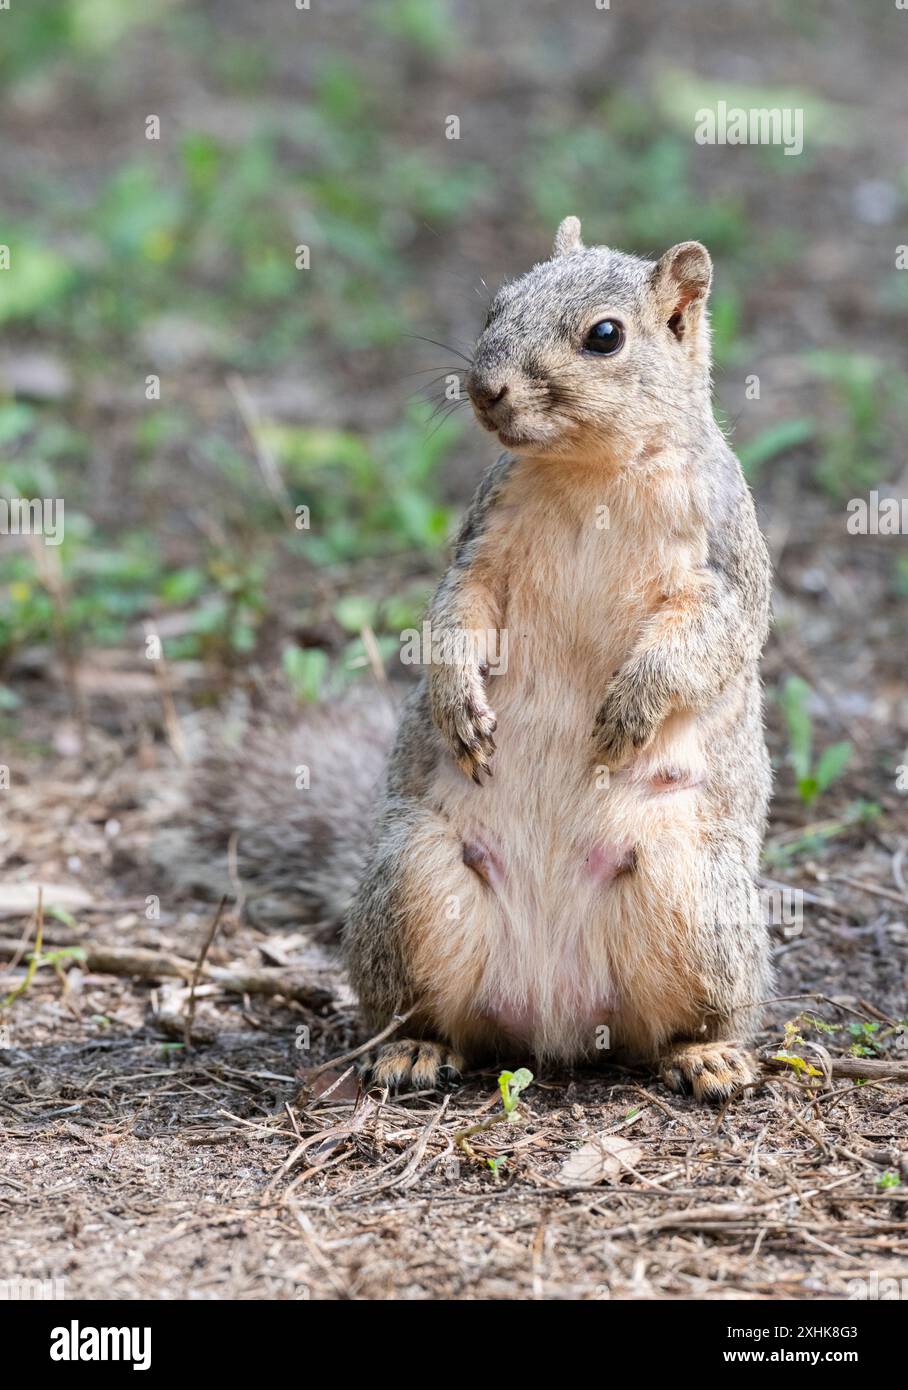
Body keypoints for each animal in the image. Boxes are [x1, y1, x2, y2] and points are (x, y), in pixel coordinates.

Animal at [175, 217, 772, 1103]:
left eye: (606, 336)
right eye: (497, 304)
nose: (485, 387)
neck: (590, 470)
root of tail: (556, 1018)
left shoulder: (724, 556)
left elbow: (712, 636)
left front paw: (634, 702)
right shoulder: (483, 543)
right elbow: (454, 615)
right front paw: (456, 699)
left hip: (693, 894)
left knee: (685, 1023)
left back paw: (706, 1054)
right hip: (415, 885)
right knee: (428, 1014)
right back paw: (414, 1048)